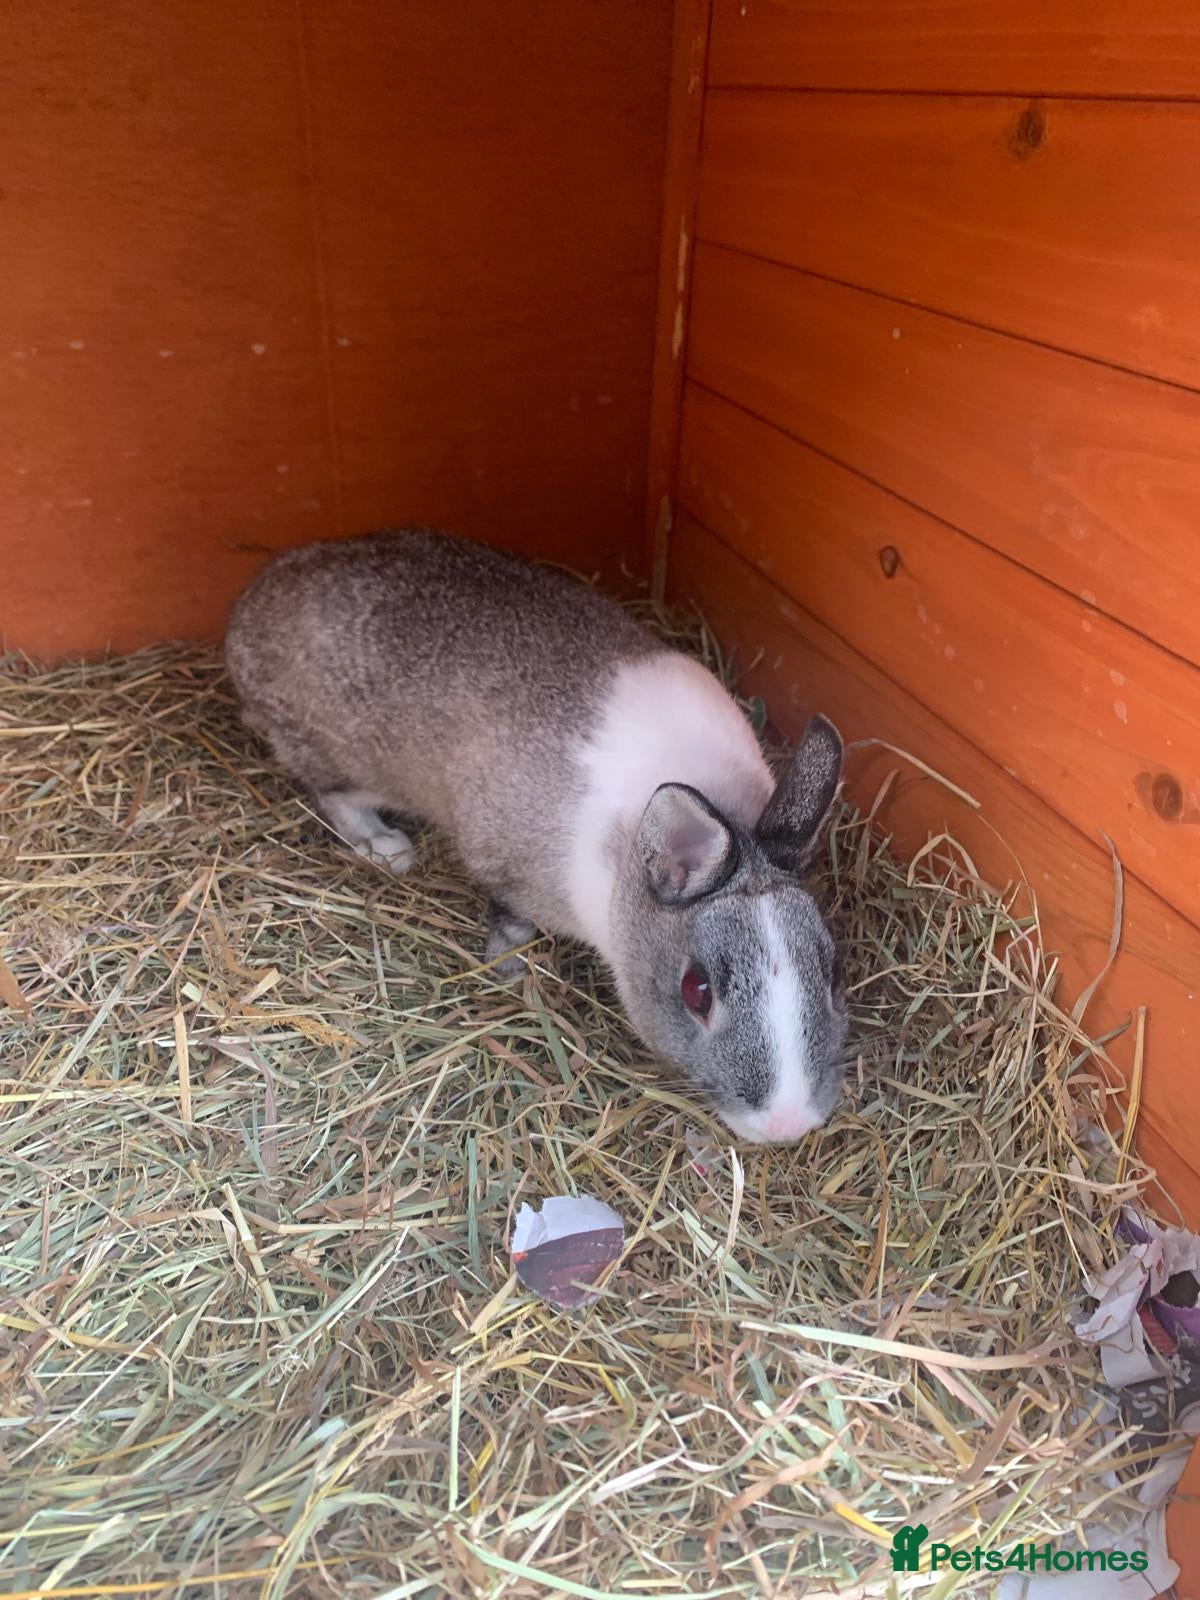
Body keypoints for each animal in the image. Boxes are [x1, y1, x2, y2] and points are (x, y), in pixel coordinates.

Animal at [225, 528, 848, 1142]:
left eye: (833, 971)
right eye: (697, 991)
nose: (786, 1124)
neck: (627, 865)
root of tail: (244, 619)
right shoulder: (507, 872)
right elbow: (507, 918)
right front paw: (508, 968)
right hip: (343, 763)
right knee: (332, 796)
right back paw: (390, 849)